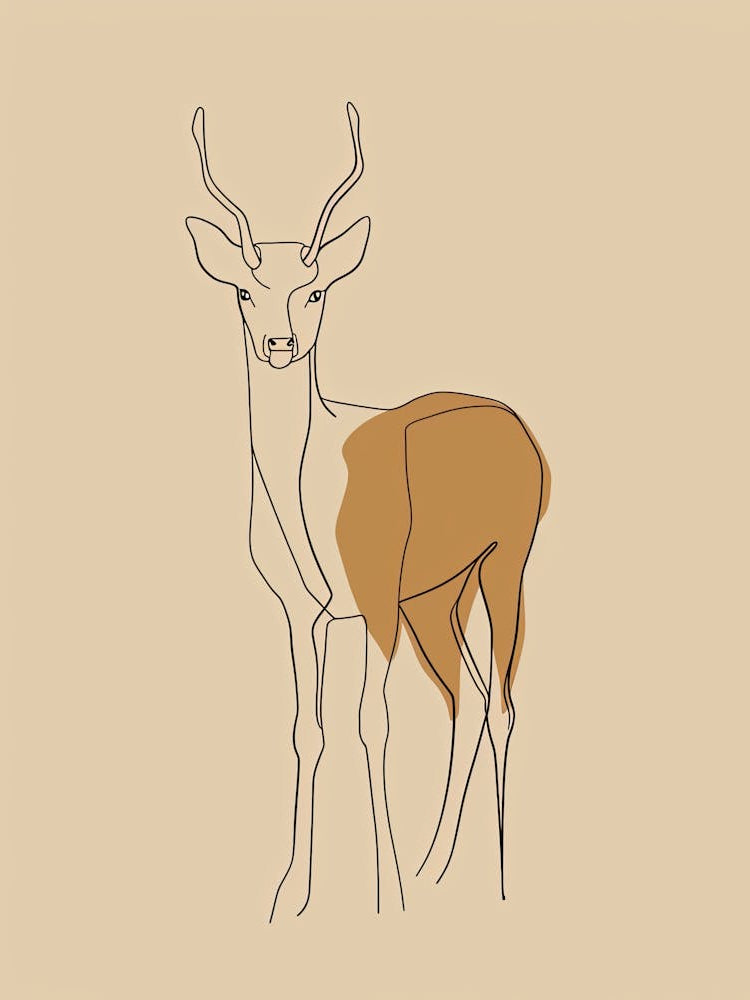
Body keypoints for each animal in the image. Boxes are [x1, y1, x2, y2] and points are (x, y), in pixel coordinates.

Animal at [185, 102, 550, 921]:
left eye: (316, 290)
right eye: (245, 291)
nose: (280, 343)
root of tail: (516, 424)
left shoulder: (374, 603)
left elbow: (370, 725)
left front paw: (386, 897)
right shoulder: (305, 611)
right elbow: (309, 730)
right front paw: (292, 895)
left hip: (502, 567)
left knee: (503, 702)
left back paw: (497, 883)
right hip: (437, 598)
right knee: (465, 699)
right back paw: (435, 868)